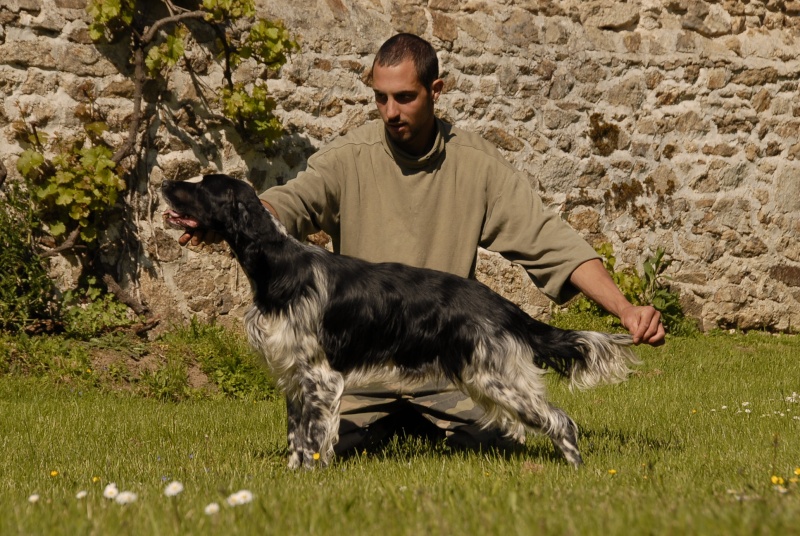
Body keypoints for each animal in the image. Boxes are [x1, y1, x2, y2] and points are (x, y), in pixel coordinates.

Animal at [166, 175, 640, 468]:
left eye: (204, 186)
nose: (167, 184)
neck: (279, 268)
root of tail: (503, 305)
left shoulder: (321, 379)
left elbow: (314, 441)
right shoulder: (294, 379)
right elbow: (297, 441)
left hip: (498, 379)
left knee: (561, 421)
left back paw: (575, 468)